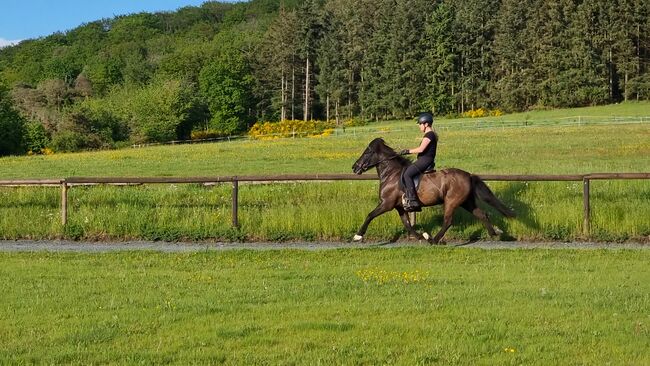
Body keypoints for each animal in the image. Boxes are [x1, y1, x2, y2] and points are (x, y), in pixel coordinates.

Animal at [352, 137, 512, 243]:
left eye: (367, 152)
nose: (354, 167)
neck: (392, 174)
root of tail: (468, 175)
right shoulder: (399, 207)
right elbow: (407, 224)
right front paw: (420, 236)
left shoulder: (386, 204)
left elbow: (370, 215)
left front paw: (358, 235)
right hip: (466, 202)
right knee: (482, 214)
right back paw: (495, 234)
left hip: (451, 201)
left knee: (448, 221)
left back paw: (434, 240)